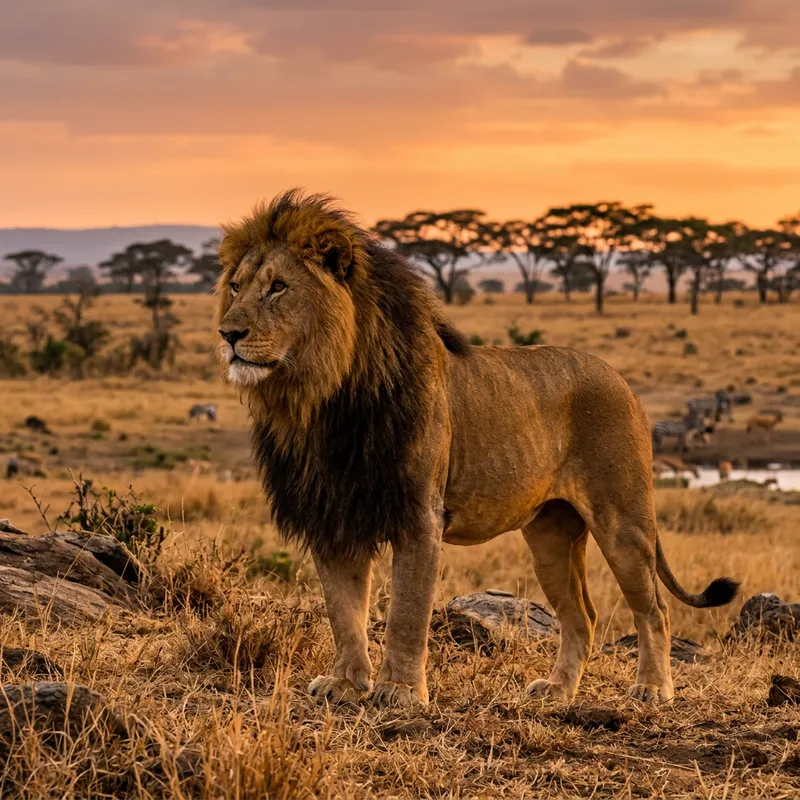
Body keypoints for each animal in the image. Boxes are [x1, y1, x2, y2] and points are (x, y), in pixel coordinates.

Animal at [215, 190, 738, 709]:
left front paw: (400, 692)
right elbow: (343, 612)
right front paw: (345, 684)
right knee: (582, 616)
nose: (227, 333)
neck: (324, 399)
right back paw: (557, 691)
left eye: (278, 287)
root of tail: (620, 380)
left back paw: (652, 687)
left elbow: (407, 612)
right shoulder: (333, 516)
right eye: (236, 287)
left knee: (654, 609)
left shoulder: (419, 515)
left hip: (623, 521)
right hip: (551, 533)